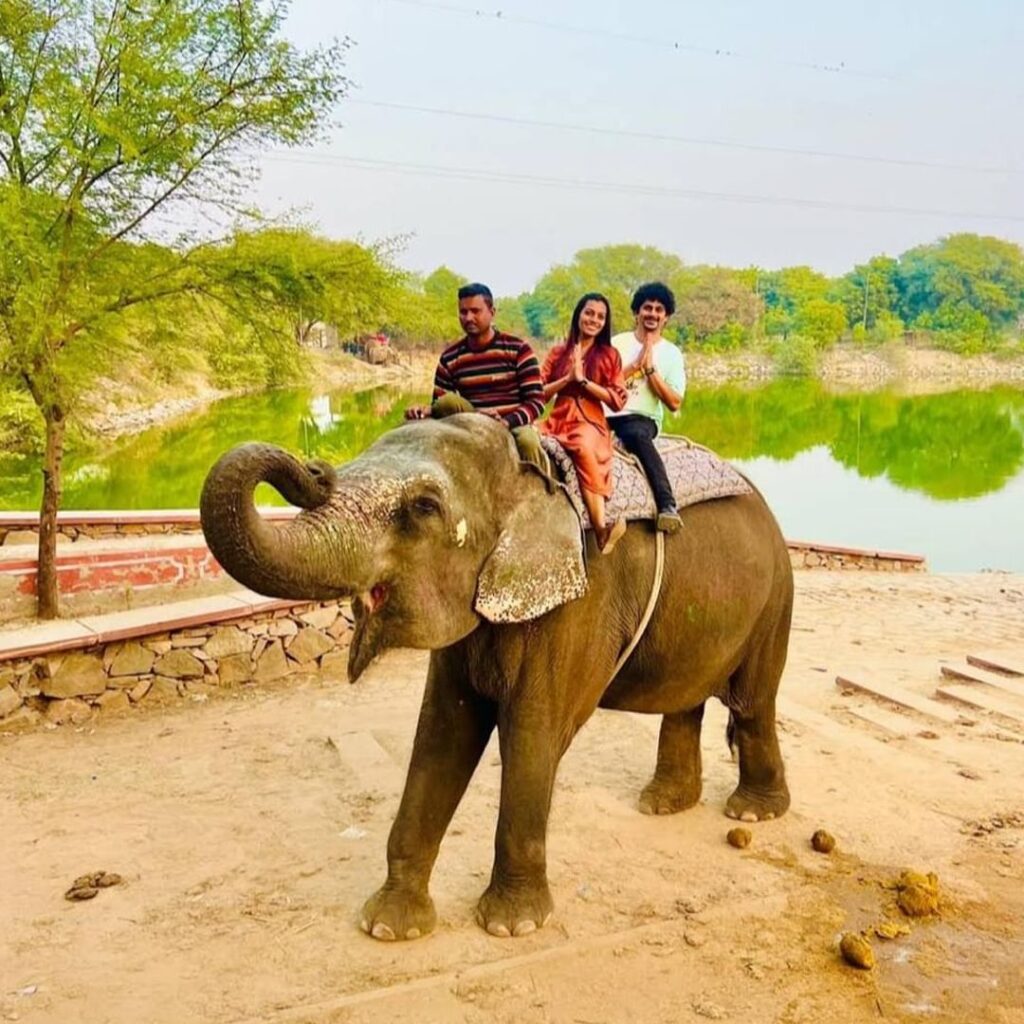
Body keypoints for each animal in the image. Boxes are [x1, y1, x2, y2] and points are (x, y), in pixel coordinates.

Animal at [199, 413, 790, 942]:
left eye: (423, 507)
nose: (317, 468)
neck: (526, 474)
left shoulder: (578, 602)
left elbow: (532, 734)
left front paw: (513, 925)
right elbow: (443, 733)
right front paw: (389, 927)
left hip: (773, 603)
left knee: (751, 704)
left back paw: (752, 811)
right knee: (687, 698)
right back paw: (663, 804)